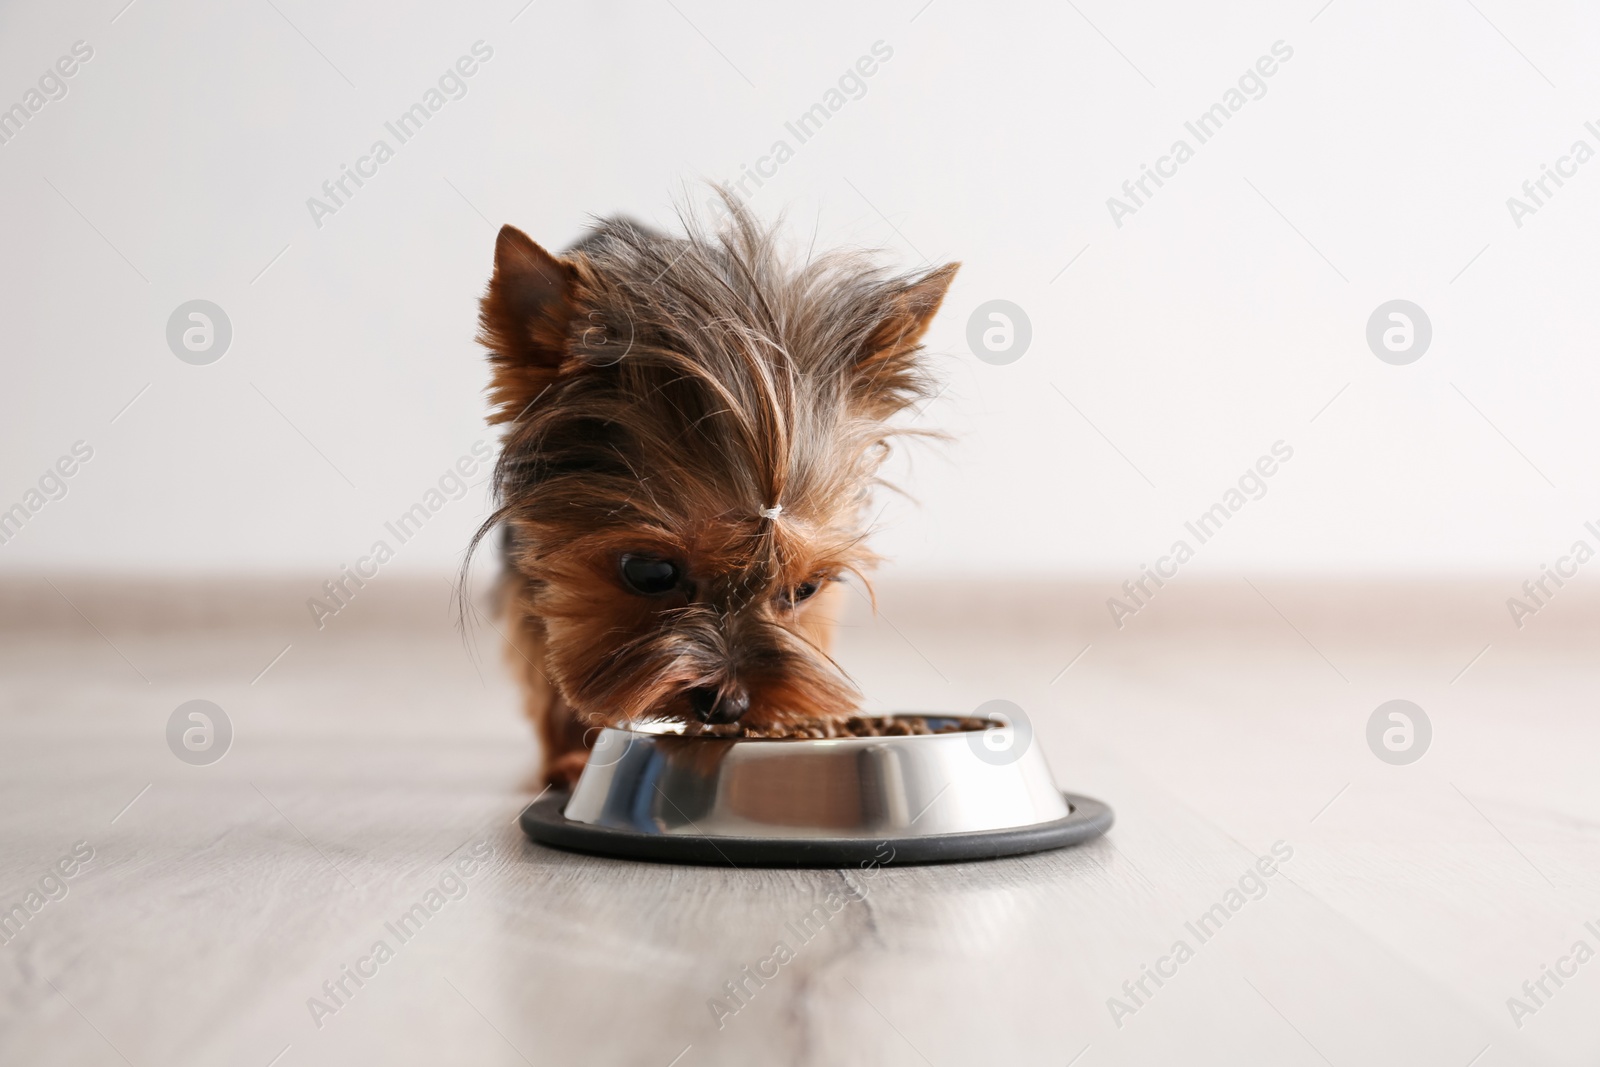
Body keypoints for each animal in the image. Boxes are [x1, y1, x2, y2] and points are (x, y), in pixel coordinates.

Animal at [467, 198, 953, 783]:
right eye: (649, 572)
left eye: (804, 590)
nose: (730, 704)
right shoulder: (532, 565)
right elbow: (549, 654)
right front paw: (572, 755)